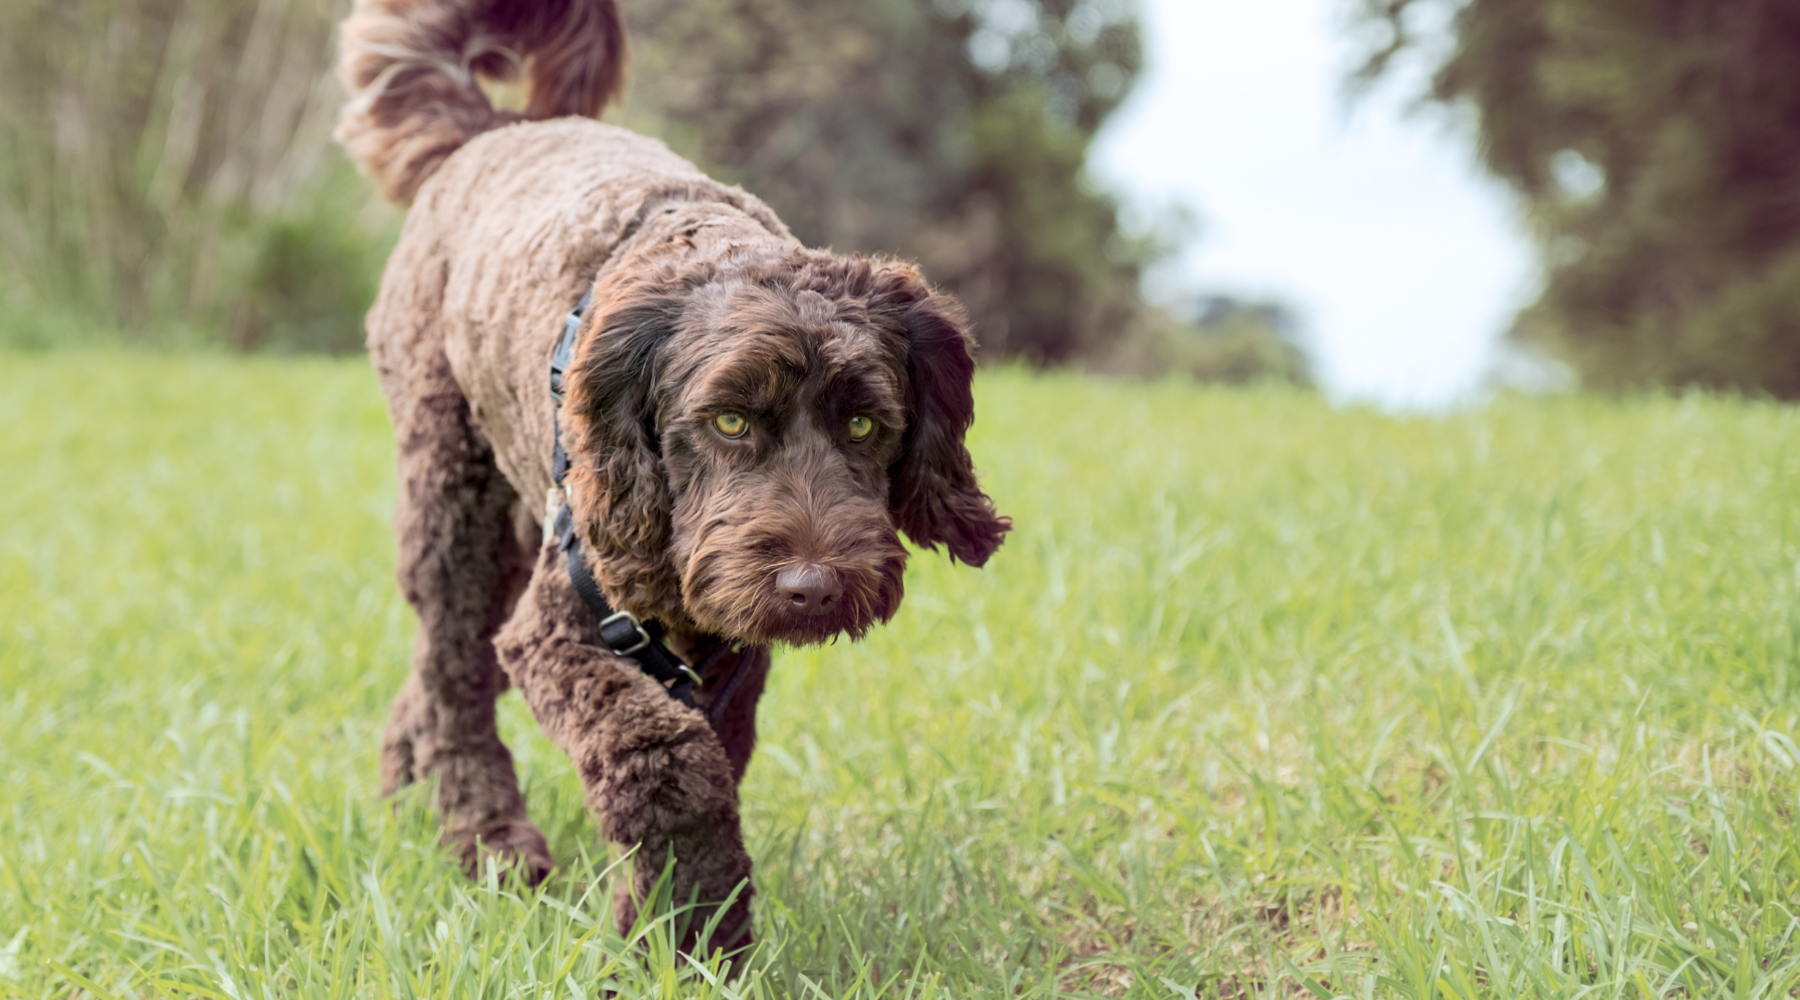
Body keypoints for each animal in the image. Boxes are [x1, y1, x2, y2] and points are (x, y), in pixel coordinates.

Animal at [338, 0, 1015, 956]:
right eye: (728, 420)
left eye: (862, 424)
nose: (812, 588)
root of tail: (497, 129)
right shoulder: (566, 628)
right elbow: (667, 761)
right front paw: (687, 941)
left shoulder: (732, 647)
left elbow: (709, 757)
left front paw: (677, 922)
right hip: (450, 489)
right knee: (453, 668)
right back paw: (487, 842)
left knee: (442, 669)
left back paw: (405, 797)